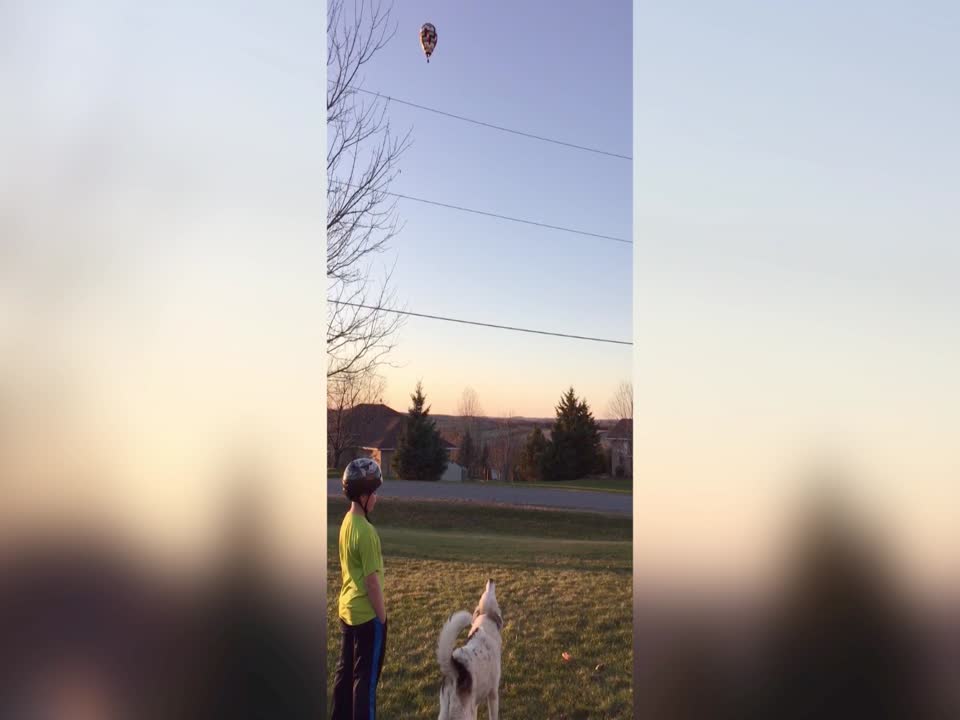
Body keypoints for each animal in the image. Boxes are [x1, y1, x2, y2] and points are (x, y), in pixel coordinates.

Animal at [438, 580, 506, 720]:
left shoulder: (475, 703)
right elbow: (493, 715)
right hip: (463, 714)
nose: (491, 579)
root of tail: (455, 672)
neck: (485, 622)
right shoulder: (493, 693)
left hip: (444, 713)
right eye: (493, 596)